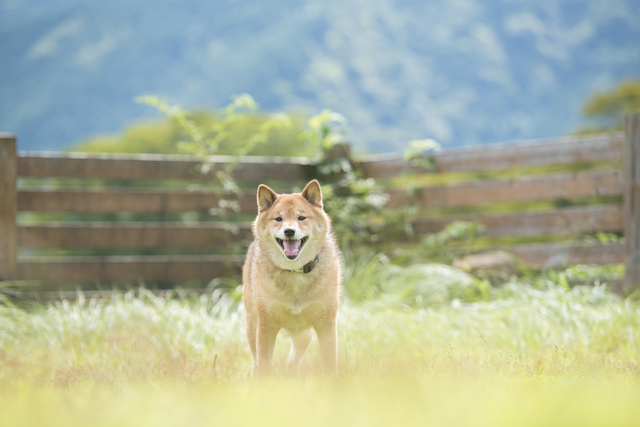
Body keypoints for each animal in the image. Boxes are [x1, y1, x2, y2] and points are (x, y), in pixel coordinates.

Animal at [241, 182, 342, 376]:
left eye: (301, 217)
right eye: (278, 219)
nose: (289, 231)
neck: (295, 272)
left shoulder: (326, 323)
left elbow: (330, 361)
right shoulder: (266, 324)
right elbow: (264, 363)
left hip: (304, 334)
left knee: (292, 362)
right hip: (252, 324)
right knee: (256, 359)